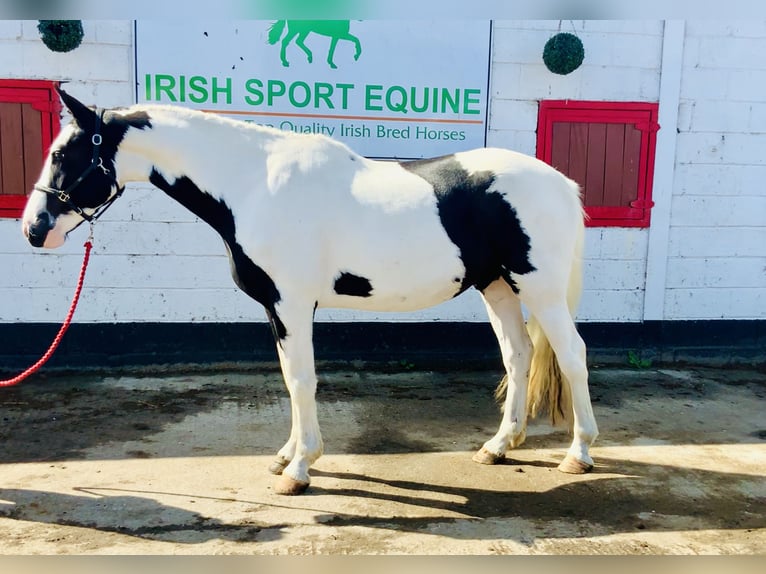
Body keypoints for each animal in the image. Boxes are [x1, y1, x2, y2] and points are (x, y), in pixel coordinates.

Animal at [21, 89, 604, 496]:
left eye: (67, 154)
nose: (33, 229)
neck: (254, 185)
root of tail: (562, 183)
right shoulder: (276, 309)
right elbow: (288, 378)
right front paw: (287, 455)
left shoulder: (293, 304)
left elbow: (302, 380)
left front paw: (300, 468)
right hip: (497, 284)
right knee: (518, 355)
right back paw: (499, 446)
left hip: (539, 287)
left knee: (573, 355)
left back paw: (578, 454)